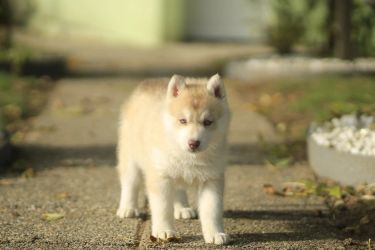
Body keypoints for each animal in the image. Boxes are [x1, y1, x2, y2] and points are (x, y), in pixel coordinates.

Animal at [116, 73, 231, 244]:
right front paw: (164, 231)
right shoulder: (161, 176)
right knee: (130, 183)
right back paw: (127, 208)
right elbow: (163, 208)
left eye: (208, 122)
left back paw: (182, 208)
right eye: (182, 121)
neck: (188, 156)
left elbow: (212, 210)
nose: (193, 143)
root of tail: (148, 83)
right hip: (131, 158)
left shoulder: (212, 179)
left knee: (178, 188)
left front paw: (215, 233)